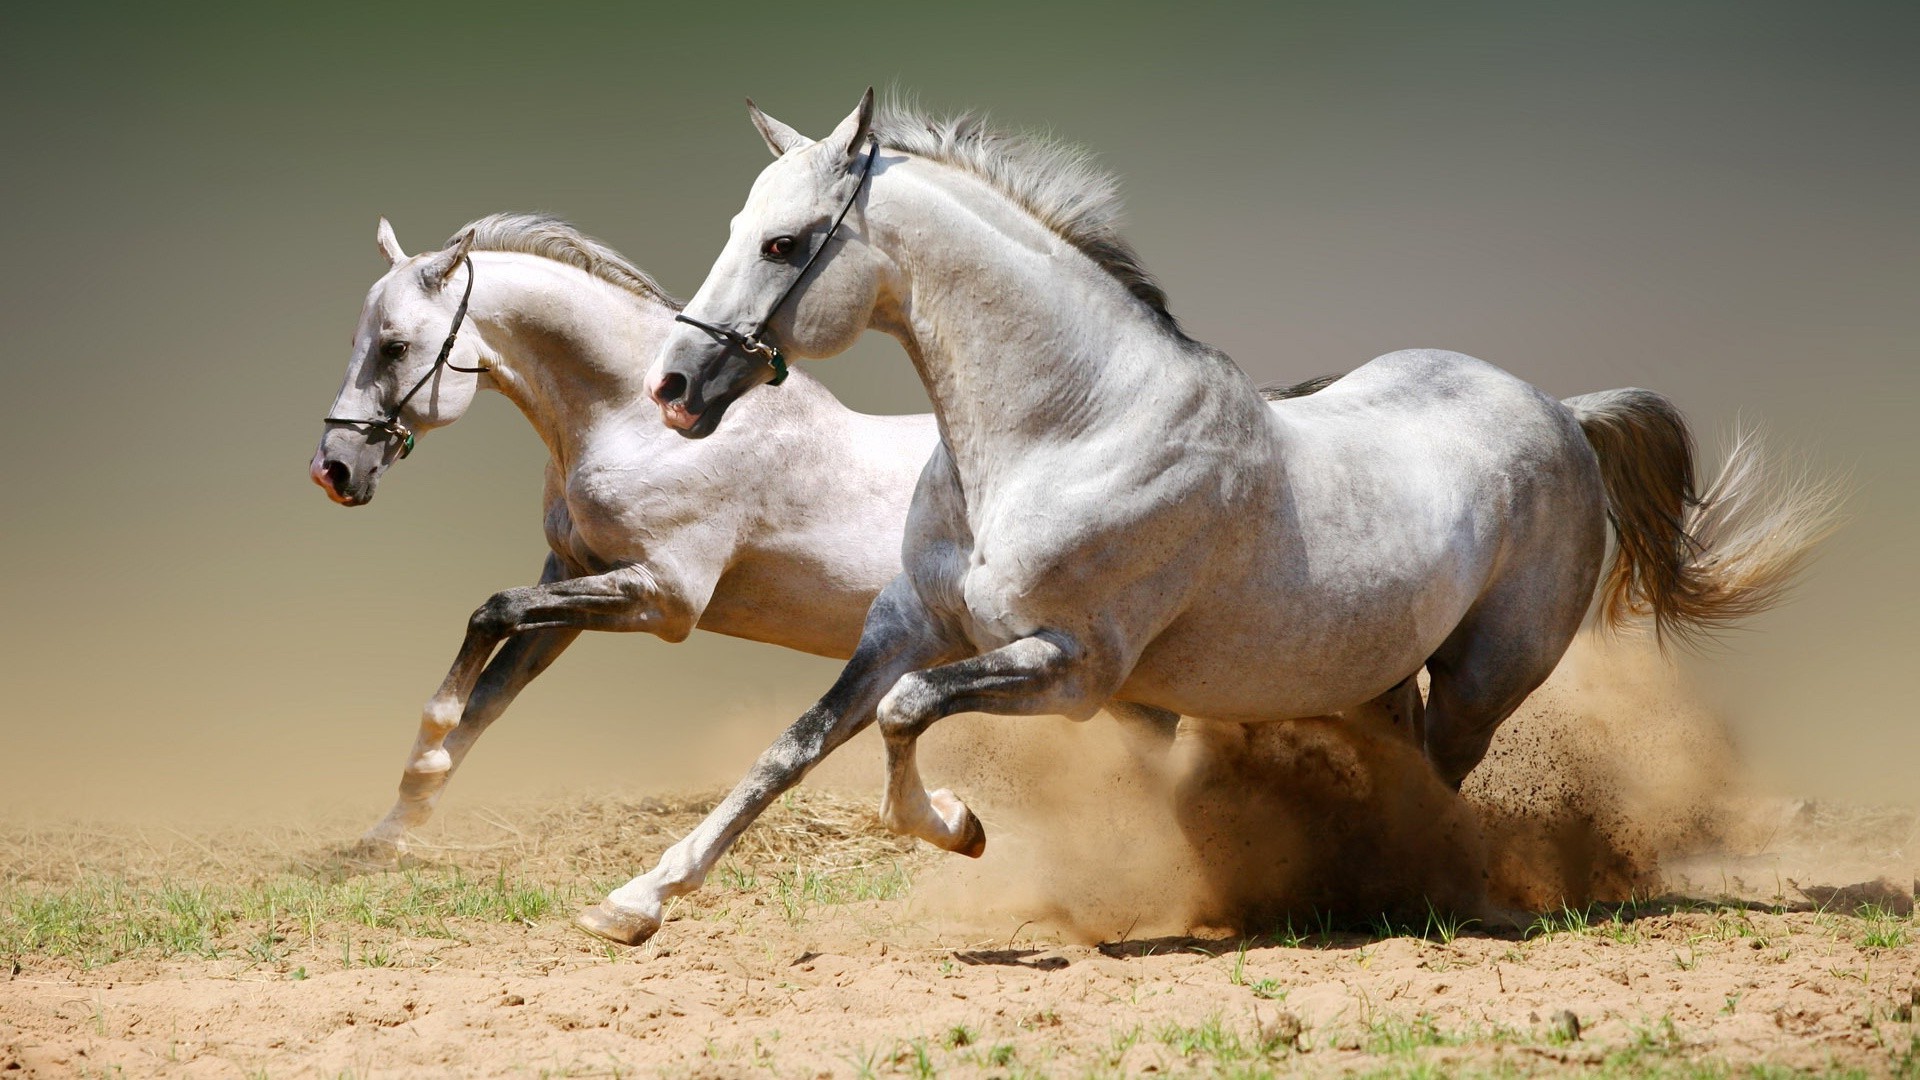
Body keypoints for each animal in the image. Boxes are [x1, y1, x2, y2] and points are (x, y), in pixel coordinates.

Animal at [576, 92, 1835, 941]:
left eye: (785, 243)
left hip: (1486, 677)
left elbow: (904, 715)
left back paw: (1430, 892)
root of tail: (1563, 413)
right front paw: (635, 901)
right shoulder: (907, 625)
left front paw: (962, 828)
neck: (1065, 430)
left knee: (1442, 781)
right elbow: (794, 747)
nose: (676, 388)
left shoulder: (1074, 670)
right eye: (741, 226)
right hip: (1376, 673)